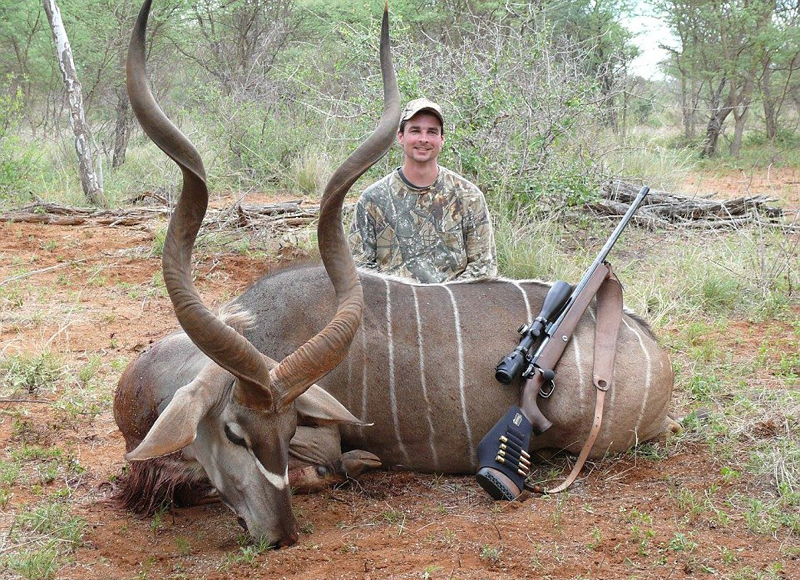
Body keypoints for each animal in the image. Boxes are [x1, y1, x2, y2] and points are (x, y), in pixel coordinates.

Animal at [114, 0, 676, 548]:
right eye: (234, 432)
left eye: (290, 425)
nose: (280, 534)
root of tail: (647, 341)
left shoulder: (319, 436)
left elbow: (312, 468)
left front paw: (358, 462)